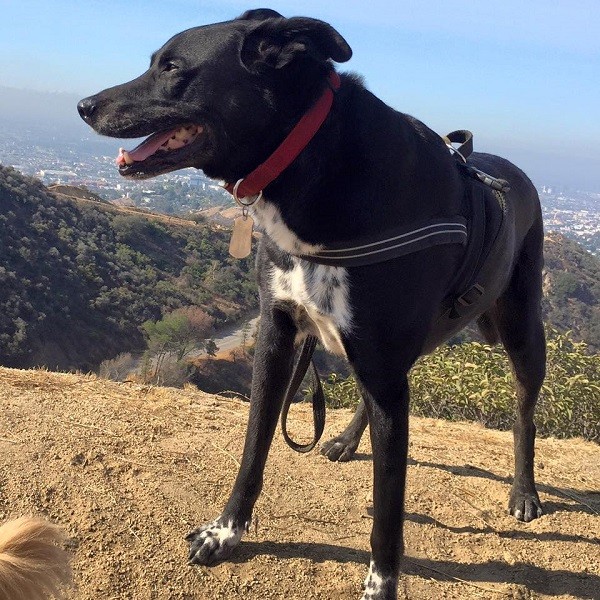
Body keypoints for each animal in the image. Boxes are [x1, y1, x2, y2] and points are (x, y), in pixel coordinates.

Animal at [78, 10, 544, 600]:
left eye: (172, 68)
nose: (84, 105)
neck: (315, 163)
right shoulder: (278, 334)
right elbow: (254, 445)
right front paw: (225, 532)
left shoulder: (378, 360)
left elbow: (388, 507)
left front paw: (380, 584)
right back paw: (344, 440)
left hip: (522, 331)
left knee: (523, 411)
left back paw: (524, 491)